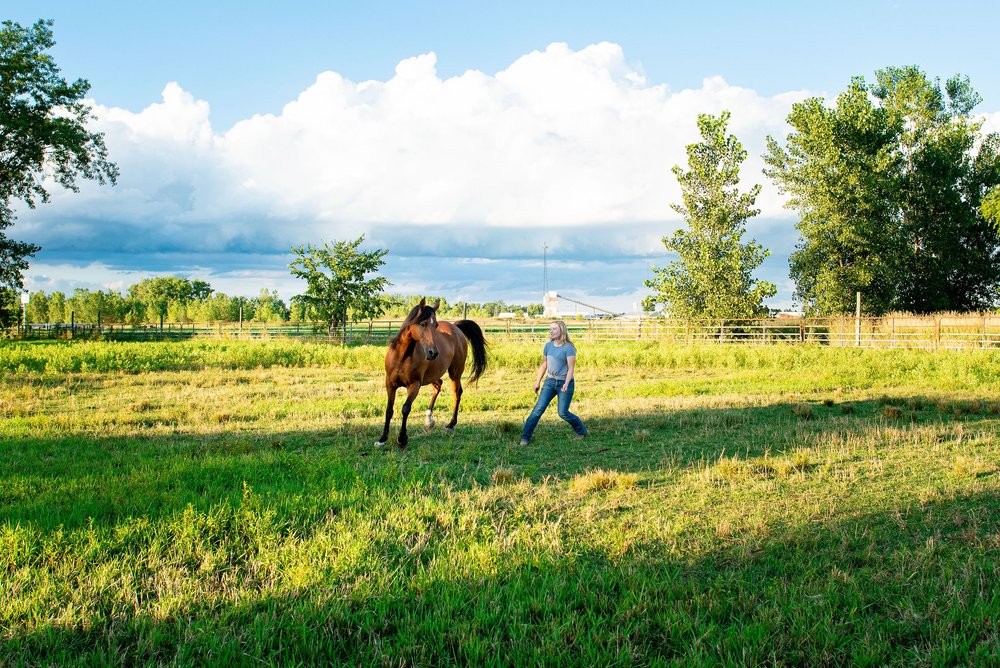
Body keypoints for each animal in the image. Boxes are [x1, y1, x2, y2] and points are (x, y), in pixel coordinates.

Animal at [376, 298, 488, 448]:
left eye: (436, 325)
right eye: (422, 324)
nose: (433, 353)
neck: (402, 357)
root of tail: (456, 328)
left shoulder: (414, 385)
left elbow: (405, 408)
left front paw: (402, 438)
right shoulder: (390, 384)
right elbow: (389, 410)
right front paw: (382, 438)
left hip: (455, 373)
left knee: (457, 393)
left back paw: (450, 424)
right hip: (433, 374)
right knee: (438, 385)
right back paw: (429, 420)